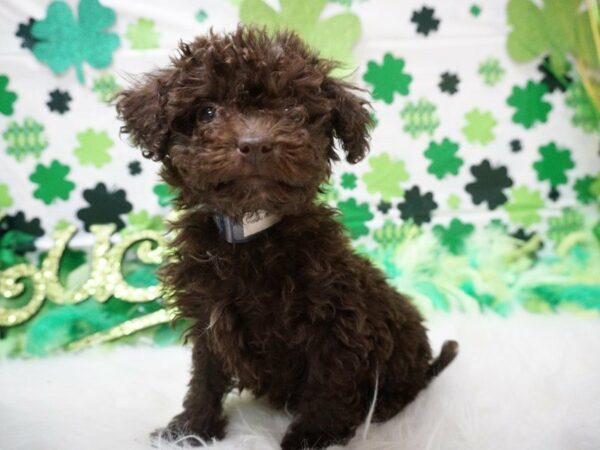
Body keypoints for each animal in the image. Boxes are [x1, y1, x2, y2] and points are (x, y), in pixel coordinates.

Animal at [116, 27, 454, 450]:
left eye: (294, 112)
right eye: (207, 111)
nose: (255, 144)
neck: (251, 233)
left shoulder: (336, 323)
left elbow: (328, 384)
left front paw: (311, 438)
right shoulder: (209, 320)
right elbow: (204, 378)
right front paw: (190, 429)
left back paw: (383, 407)